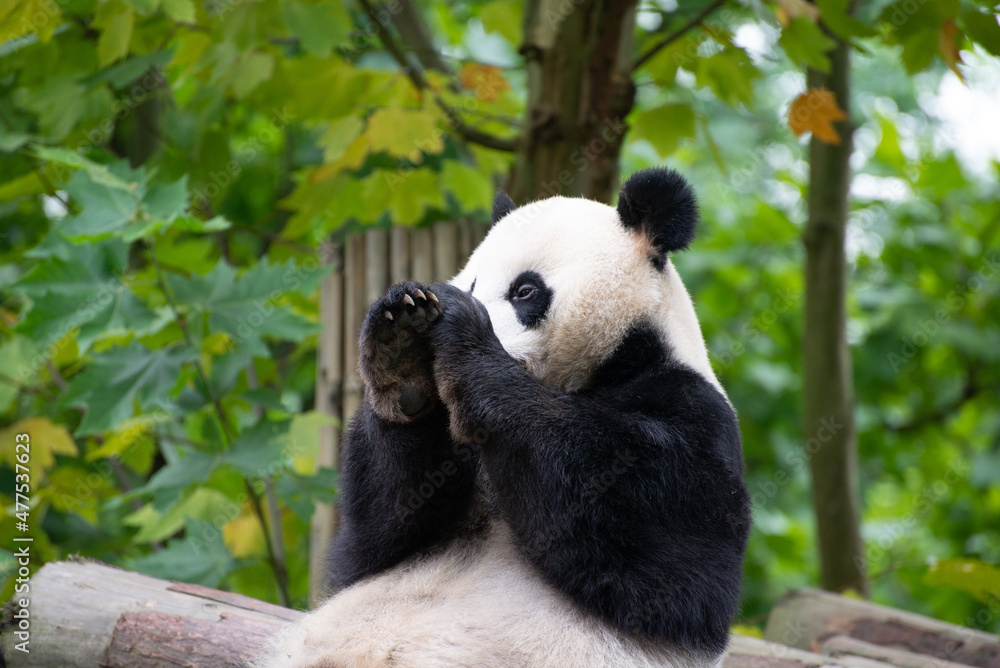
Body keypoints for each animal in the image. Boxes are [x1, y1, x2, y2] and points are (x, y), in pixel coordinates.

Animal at [260, 167, 751, 668]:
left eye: (524, 290)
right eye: (473, 284)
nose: (449, 318)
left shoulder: (692, 409)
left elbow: (673, 563)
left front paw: (464, 340)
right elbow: (368, 548)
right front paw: (401, 346)